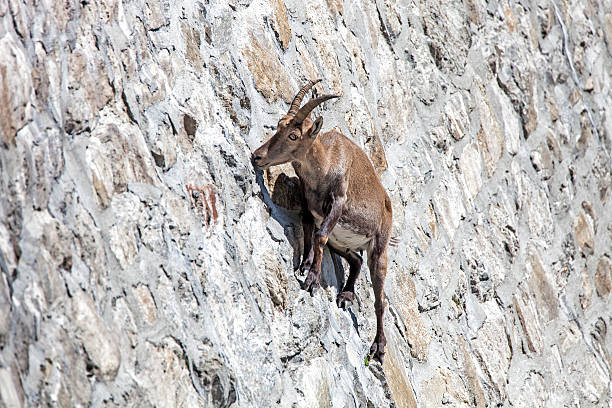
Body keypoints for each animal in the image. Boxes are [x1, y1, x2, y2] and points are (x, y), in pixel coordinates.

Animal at [252, 79, 392, 364]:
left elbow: (320, 235)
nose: (257, 157)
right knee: (356, 259)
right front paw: (305, 265)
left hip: (379, 249)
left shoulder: (337, 202)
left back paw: (378, 347)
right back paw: (346, 294)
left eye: (294, 135)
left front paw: (312, 279)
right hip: (343, 242)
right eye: (279, 125)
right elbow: (309, 227)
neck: (326, 162)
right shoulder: (308, 201)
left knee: (380, 300)